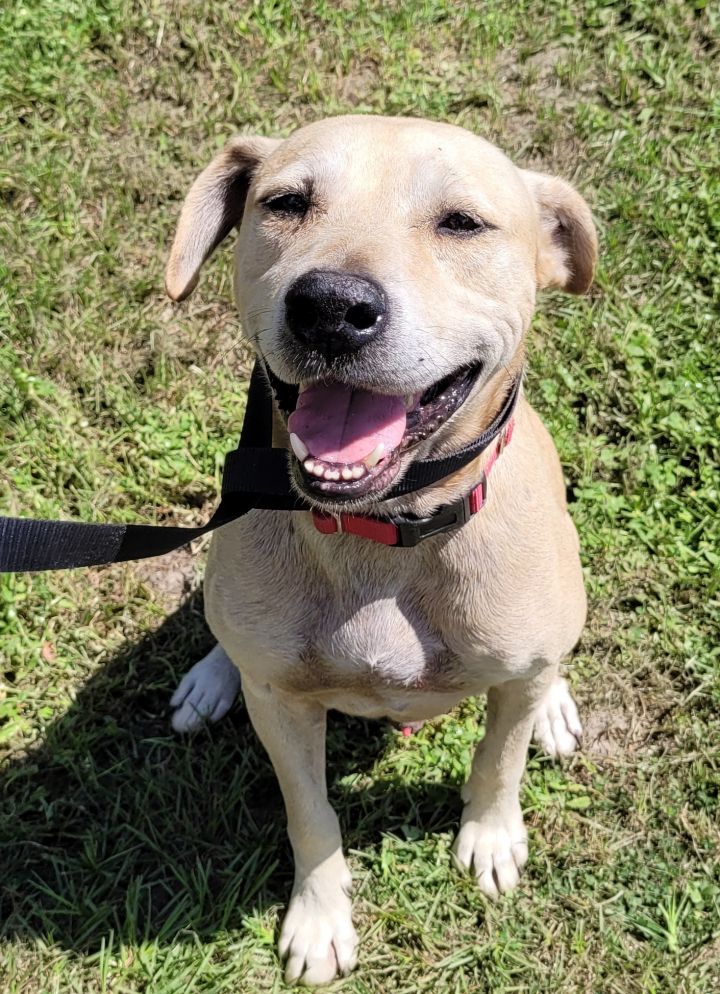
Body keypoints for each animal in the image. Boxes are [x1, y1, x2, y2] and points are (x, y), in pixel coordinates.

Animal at [163, 116, 596, 984]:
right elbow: (310, 814)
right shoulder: (285, 708)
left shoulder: (512, 680)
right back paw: (211, 676)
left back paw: (556, 706)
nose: (331, 307)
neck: (383, 529)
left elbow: (499, 759)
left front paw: (490, 837)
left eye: (462, 223)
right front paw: (319, 917)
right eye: (287, 203)